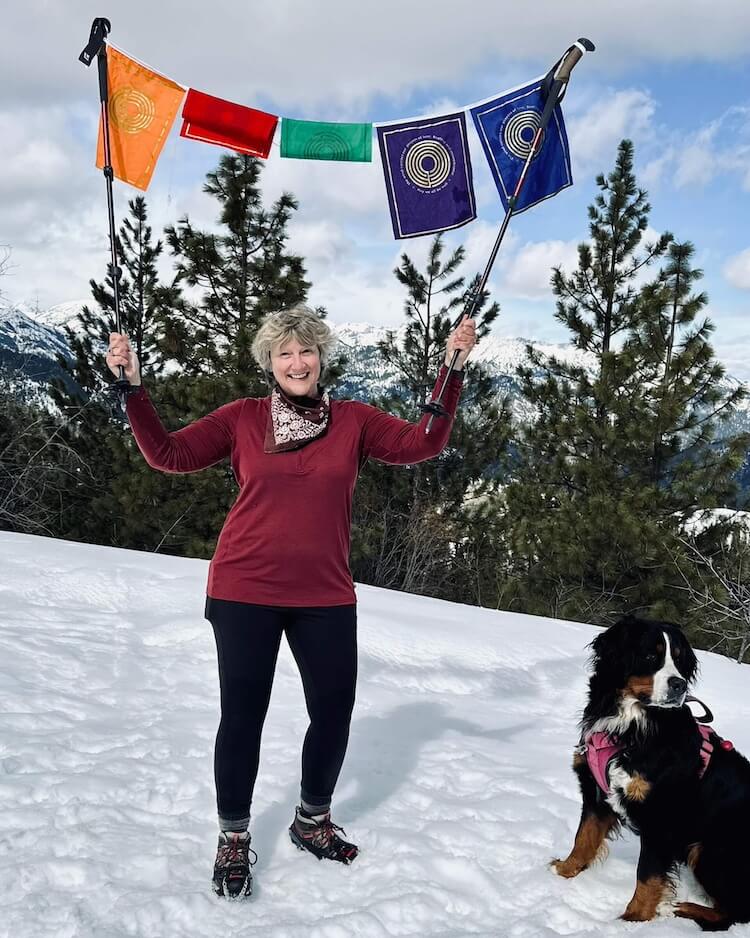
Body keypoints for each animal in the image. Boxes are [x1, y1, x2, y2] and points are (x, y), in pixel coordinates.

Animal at [552, 616, 750, 928]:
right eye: (649, 656)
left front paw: (632, 919)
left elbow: (647, 874)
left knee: (734, 912)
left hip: (711, 849)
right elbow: (583, 839)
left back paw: (681, 908)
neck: (630, 728)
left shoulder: (660, 815)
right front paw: (562, 871)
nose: (679, 685)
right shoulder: (596, 793)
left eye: (679, 661)